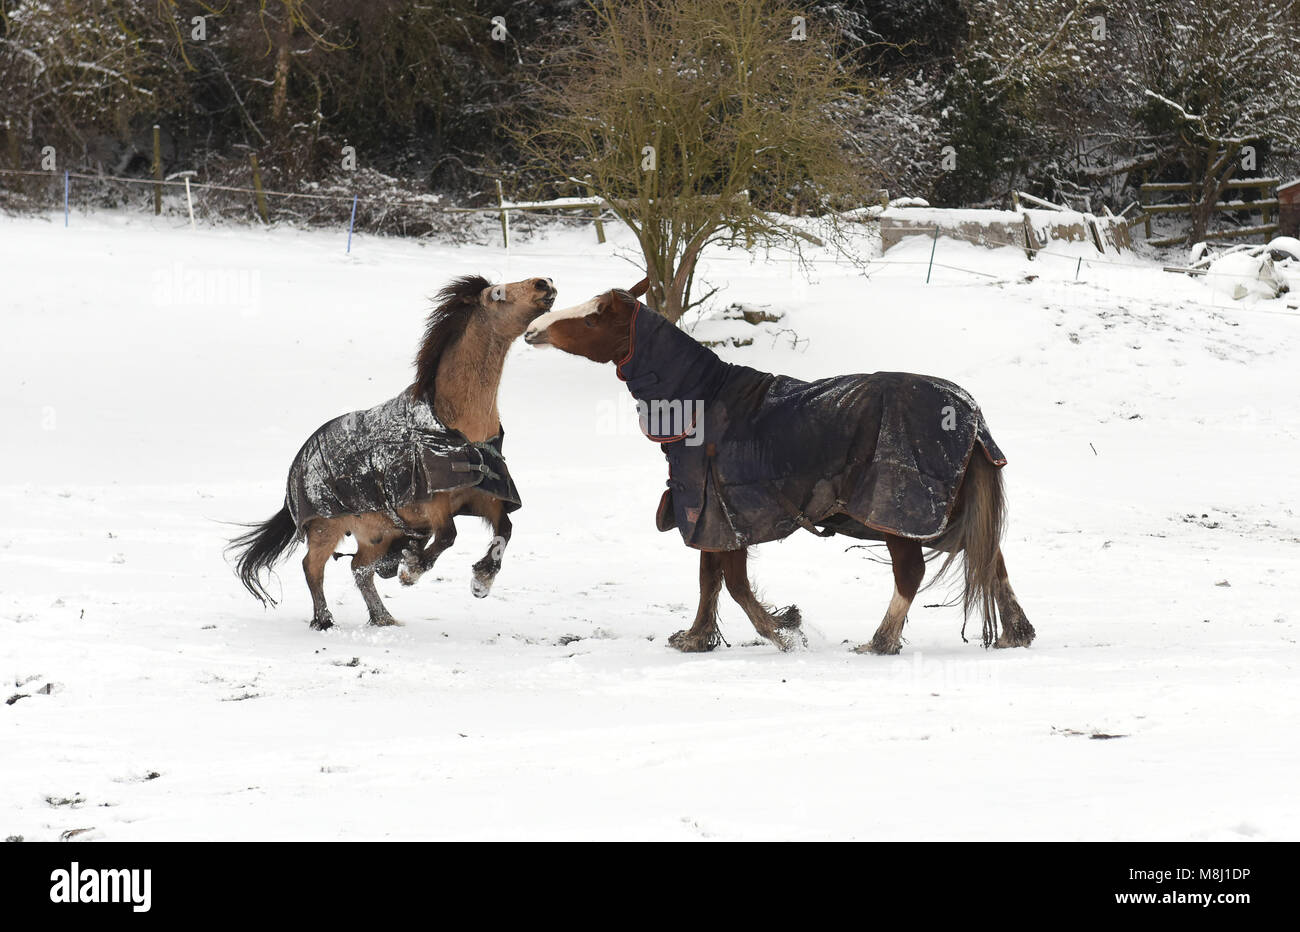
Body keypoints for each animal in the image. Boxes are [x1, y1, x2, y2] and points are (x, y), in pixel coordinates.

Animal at [228, 274, 557, 629]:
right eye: (497, 293)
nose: (544, 283)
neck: (460, 428)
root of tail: (301, 459)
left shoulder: (482, 497)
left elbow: (504, 530)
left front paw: (481, 581)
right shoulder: (433, 504)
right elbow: (447, 535)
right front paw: (411, 569)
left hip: (377, 532)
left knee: (359, 567)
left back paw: (383, 617)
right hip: (325, 527)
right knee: (312, 567)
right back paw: (325, 620)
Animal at [523, 280, 1035, 655]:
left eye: (591, 318)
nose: (533, 329)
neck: (703, 401)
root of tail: (968, 414)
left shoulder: (721, 515)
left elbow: (733, 584)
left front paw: (782, 630)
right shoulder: (712, 519)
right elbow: (710, 580)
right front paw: (697, 637)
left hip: (898, 516)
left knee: (911, 574)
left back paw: (881, 641)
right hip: (950, 512)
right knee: (991, 559)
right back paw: (1016, 631)